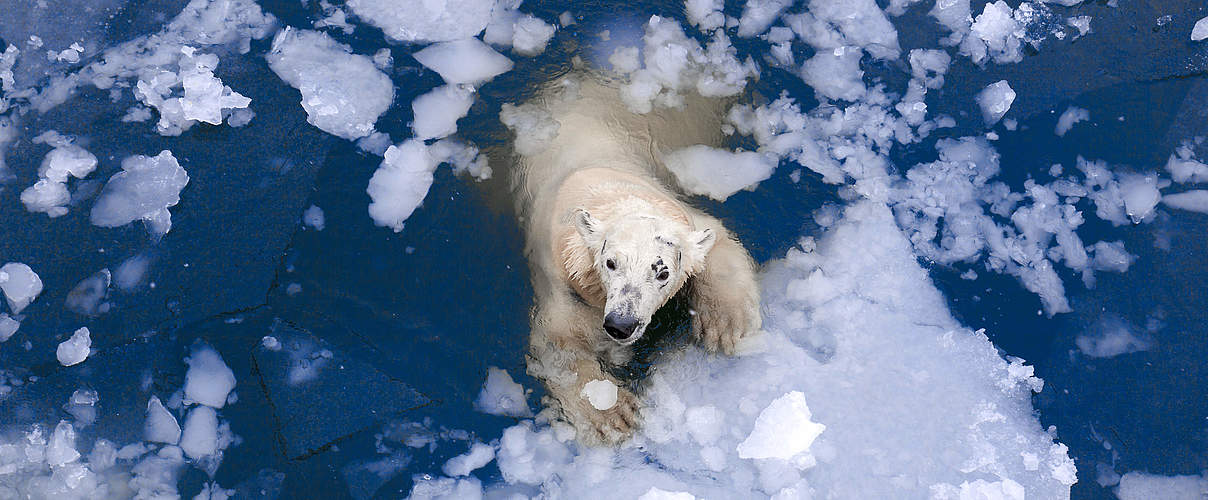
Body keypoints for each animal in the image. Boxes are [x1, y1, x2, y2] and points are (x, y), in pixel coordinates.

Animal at [512, 75, 763, 444]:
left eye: (662, 273)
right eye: (610, 263)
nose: (621, 324)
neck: (602, 190)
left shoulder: (681, 214)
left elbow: (715, 242)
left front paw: (726, 324)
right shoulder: (562, 277)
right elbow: (558, 344)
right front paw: (613, 413)